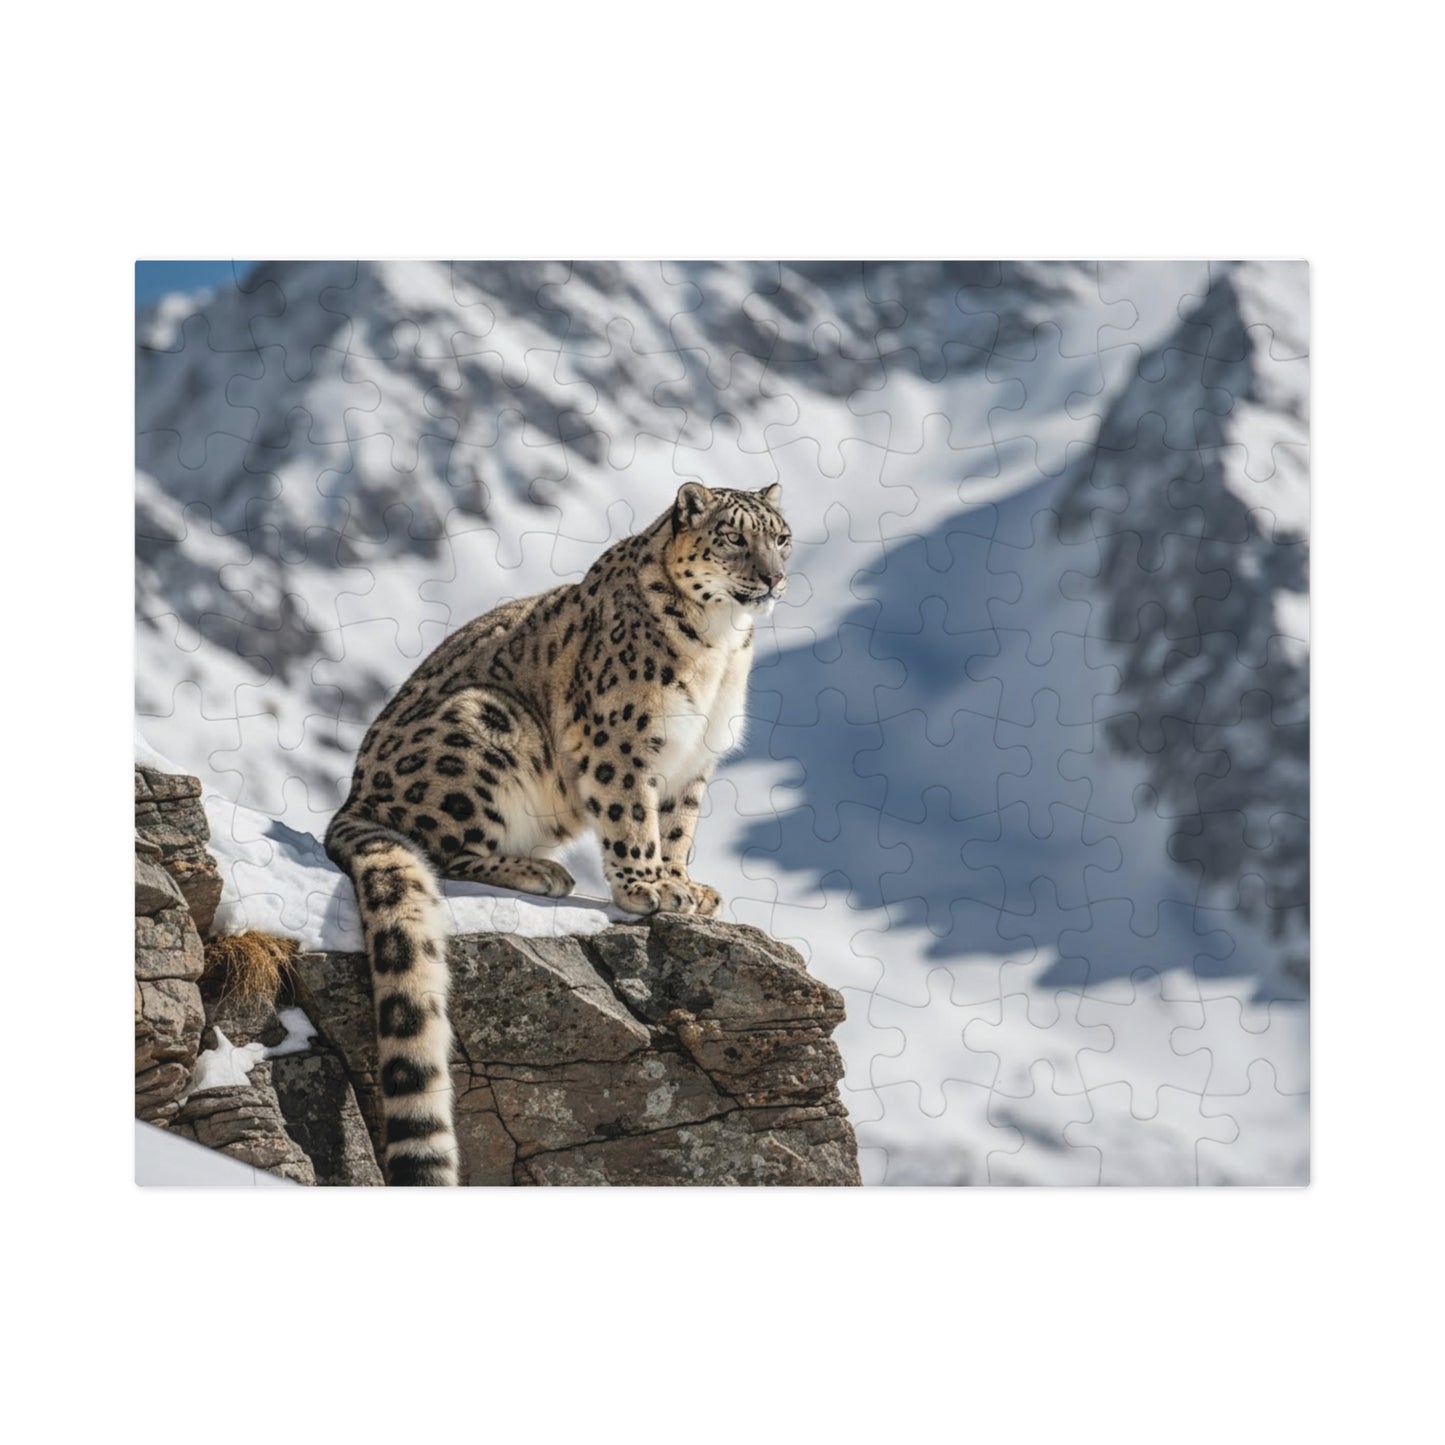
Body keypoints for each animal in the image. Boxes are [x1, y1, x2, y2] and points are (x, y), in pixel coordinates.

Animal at [323, 481, 790, 1184]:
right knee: (440, 849)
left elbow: (678, 826)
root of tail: (353, 798)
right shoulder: (620, 740)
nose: (773, 577)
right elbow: (632, 814)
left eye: (781, 537)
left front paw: (686, 886)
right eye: (734, 537)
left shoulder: (694, 761)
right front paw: (647, 888)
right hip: (483, 727)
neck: (719, 647)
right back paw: (538, 871)